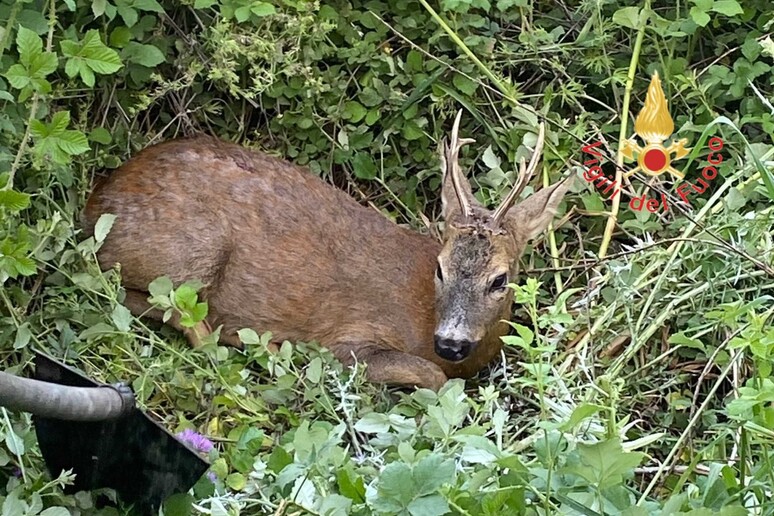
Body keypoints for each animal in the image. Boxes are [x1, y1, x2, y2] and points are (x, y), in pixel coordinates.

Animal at [83, 111, 568, 390]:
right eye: (440, 268)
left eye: (500, 279)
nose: (450, 343)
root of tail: (96, 200)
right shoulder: (348, 340)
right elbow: (430, 375)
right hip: (193, 253)